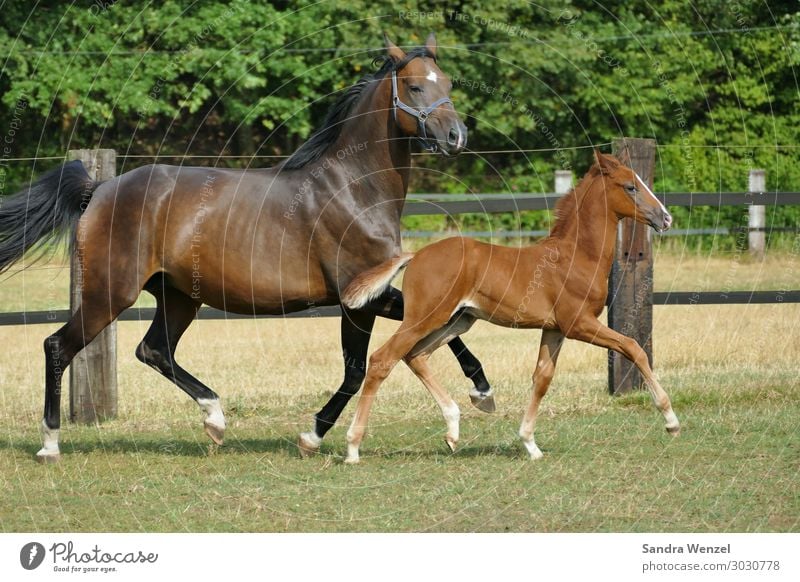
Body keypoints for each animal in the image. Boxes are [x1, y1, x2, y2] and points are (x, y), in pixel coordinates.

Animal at [0, 35, 494, 466]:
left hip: (179, 296)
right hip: (111, 293)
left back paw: (215, 420)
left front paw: (481, 394)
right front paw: (312, 435)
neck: (353, 190)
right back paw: (50, 444)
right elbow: (358, 369)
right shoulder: (357, 299)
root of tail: (99, 189)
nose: (456, 136)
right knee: (58, 346)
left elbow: (440, 322)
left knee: (154, 350)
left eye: (447, 82)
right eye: (415, 85)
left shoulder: (373, 295)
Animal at [340, 154, 680, 466]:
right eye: (630, 187)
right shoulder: (579, 324)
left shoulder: (554, 329)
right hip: (426, 317)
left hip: (457, 321)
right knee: (383, 359)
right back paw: (353, 448)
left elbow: (542, 378)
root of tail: (416, 254)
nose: (665, 218)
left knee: (415, 356)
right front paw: (670, 420)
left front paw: (530, 444)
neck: (576, 257)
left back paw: (452, 429)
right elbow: (633, 347)